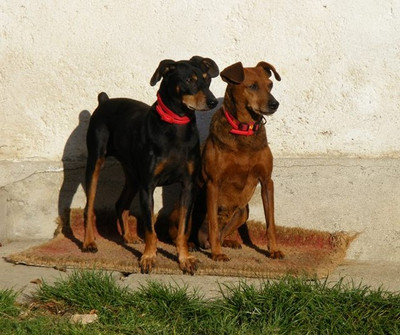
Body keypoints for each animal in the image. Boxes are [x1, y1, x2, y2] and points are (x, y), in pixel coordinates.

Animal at [82, 56, 219, 274]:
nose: (213, 101)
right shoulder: (148, 187)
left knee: (121, 203)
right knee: (89, 207)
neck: (176, 126)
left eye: (208, 79)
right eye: (189, 80)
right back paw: (88, 243)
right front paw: (148, 258)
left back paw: (128, 237)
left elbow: (182, 230)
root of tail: (105, 100)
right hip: (95, 162)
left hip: (132, 174)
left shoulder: (188, 185)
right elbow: (149, 229)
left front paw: (185, 259)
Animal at [195, 61, 282, 262]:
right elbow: (213, 224)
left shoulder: (267, 181)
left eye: (270, 85)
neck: (245, 130)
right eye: (252, 86)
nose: (275, 104)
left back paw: (227, 242)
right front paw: (217, 254)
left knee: (221, 233)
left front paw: (273, 250)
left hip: (243, 211)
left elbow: (271, 222)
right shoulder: (213, 182)